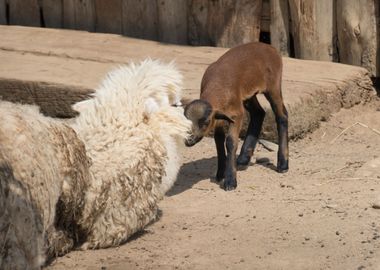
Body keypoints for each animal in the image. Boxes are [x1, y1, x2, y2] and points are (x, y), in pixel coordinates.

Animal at [184, 41, 288, 190]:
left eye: (205, 122)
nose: (189, 140)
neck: (217, 86)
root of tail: (269, 47)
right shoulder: (220, 117)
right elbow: (218, 141)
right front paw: (220, 173)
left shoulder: (236, 114)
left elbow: (231, 142)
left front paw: (230, 180)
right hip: (249, 94)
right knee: (258, 113)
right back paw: (244, 158)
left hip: (273, 86)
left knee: (282, 116)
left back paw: (283, 164)